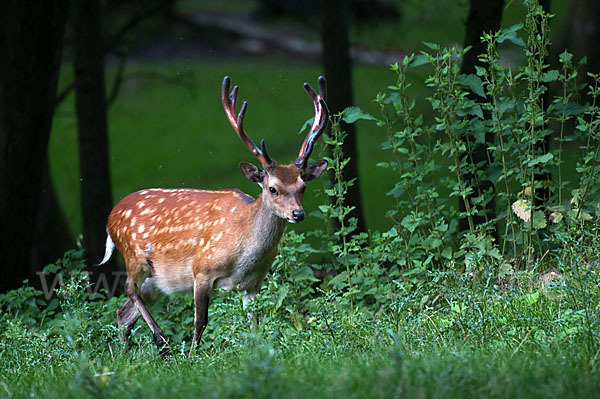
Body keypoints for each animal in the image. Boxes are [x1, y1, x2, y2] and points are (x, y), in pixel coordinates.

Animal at [100, 75, 330, 356]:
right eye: (272, 188)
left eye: (303, 186)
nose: (298, 214)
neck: (243, 254)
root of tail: (110, 217)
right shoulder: (202, 270)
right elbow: (201, 321)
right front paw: (191, 356)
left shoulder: (253, 284)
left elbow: (255, 323)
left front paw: (260, 352)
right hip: (134, 257)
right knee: (128, 289)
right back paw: (161, 340)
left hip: (159, 280)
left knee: (123, 313)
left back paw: (123, 355)